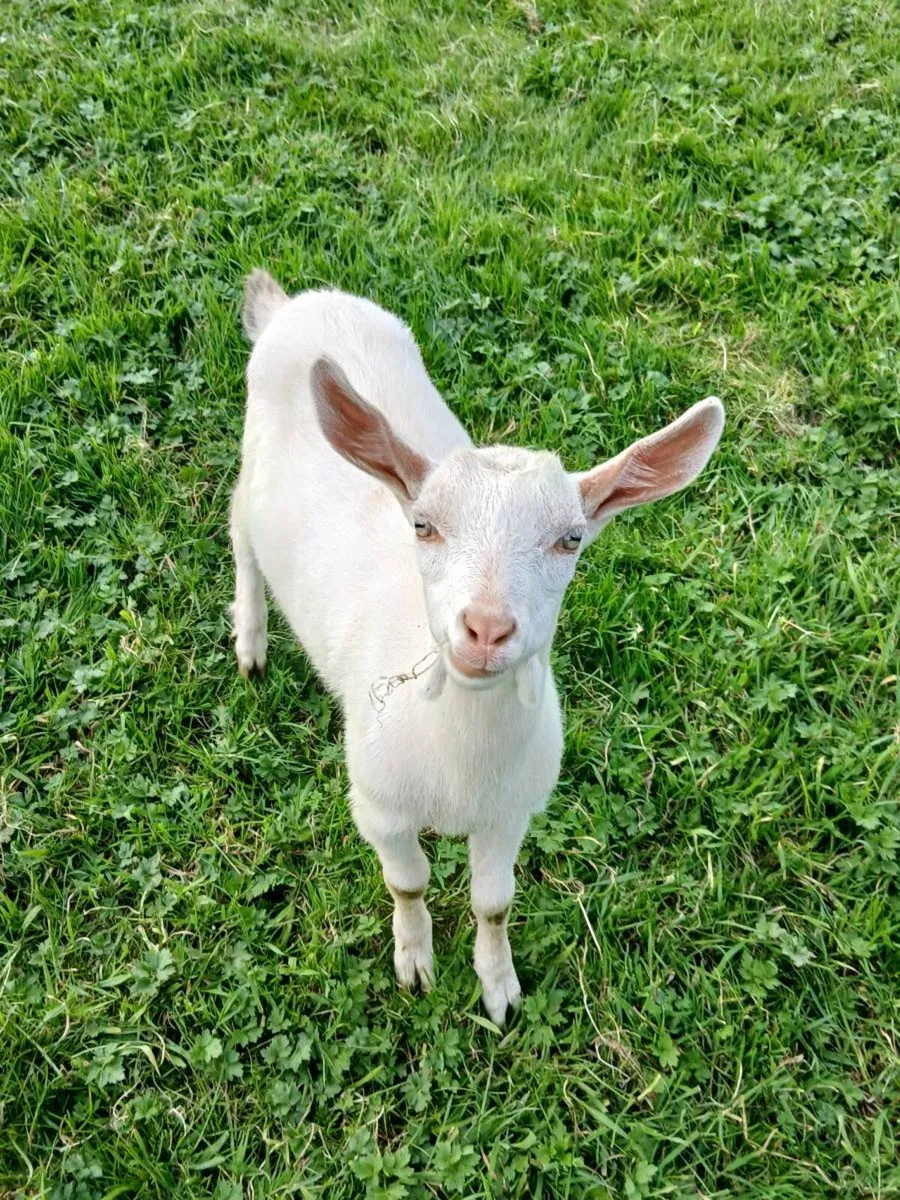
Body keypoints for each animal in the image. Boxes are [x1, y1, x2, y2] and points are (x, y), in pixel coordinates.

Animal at [231, 269, 724, 1025]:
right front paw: (415, 963)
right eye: (423, 524)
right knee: (239, 529)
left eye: (571, 538)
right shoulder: (378, 807)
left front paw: (499, 990)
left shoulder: (511, 813)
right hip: (250, 454)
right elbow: (407, 883)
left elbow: (495, 903)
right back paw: (250, 637)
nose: (487, 629)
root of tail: (297, 304)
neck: (460, 767)